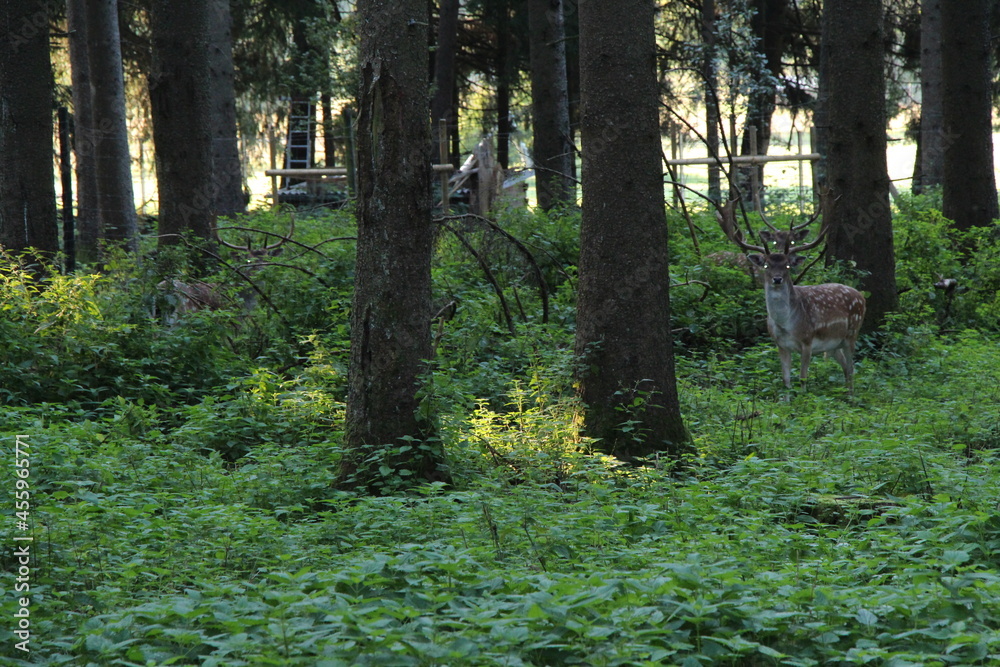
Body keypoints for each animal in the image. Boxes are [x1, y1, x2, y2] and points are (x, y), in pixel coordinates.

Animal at [717, 199, 866, 393]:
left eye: (787, 265)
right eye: (766, 265)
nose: (777, 279)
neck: (786, 325)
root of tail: (861, 297)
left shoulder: (807, 341)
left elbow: (803, 378)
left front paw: (803, 399)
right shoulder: (780, 344)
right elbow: (785, 380)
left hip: (852, 333)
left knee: (851, 368)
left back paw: (852, 396)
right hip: (834, 344)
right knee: (845, 367)